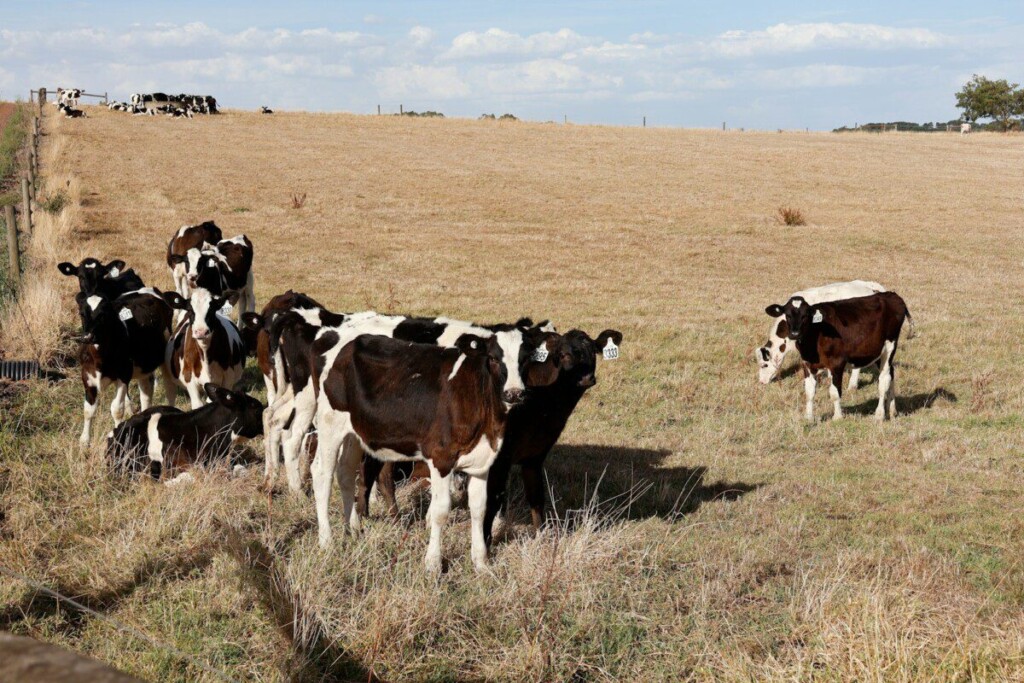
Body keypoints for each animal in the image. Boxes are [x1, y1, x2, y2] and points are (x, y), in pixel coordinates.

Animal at [76, 288, 175, 445]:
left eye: (103, 314)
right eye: (81, 313)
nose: (87, 337)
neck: (99, 359)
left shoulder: (123, 376)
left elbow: (117, 409)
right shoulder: (87, 376)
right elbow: (88, 410)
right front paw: (84, 441)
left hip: (165, 356)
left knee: (169, 387)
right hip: (144, 367)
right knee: (146, 391)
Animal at [312, 328, 532, 573]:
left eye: (526, 358)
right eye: (493, 358)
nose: (514, 393)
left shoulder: (481, 461)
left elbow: (479, 509)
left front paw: (481, 562)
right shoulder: (441, 458)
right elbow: (440, 510)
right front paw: (433, 564)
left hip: (355, 433)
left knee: (346, 473)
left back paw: (354, 529)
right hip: (330, 423)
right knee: (322, 475)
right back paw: (327, 542)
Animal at [764, 292, 914, 422]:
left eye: (805, 315)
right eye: (787, 315)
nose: (794, 334)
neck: (815, 334)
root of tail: (891, 295)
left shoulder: (836, 363)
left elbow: (835, 393)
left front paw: (837, 417)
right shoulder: (807, 363)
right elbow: (809, 392)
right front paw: (809, 418)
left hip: (889, 346)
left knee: (884, 380)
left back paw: (879, 415)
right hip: (876, 353)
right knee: (891, 373)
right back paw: (892, 410)